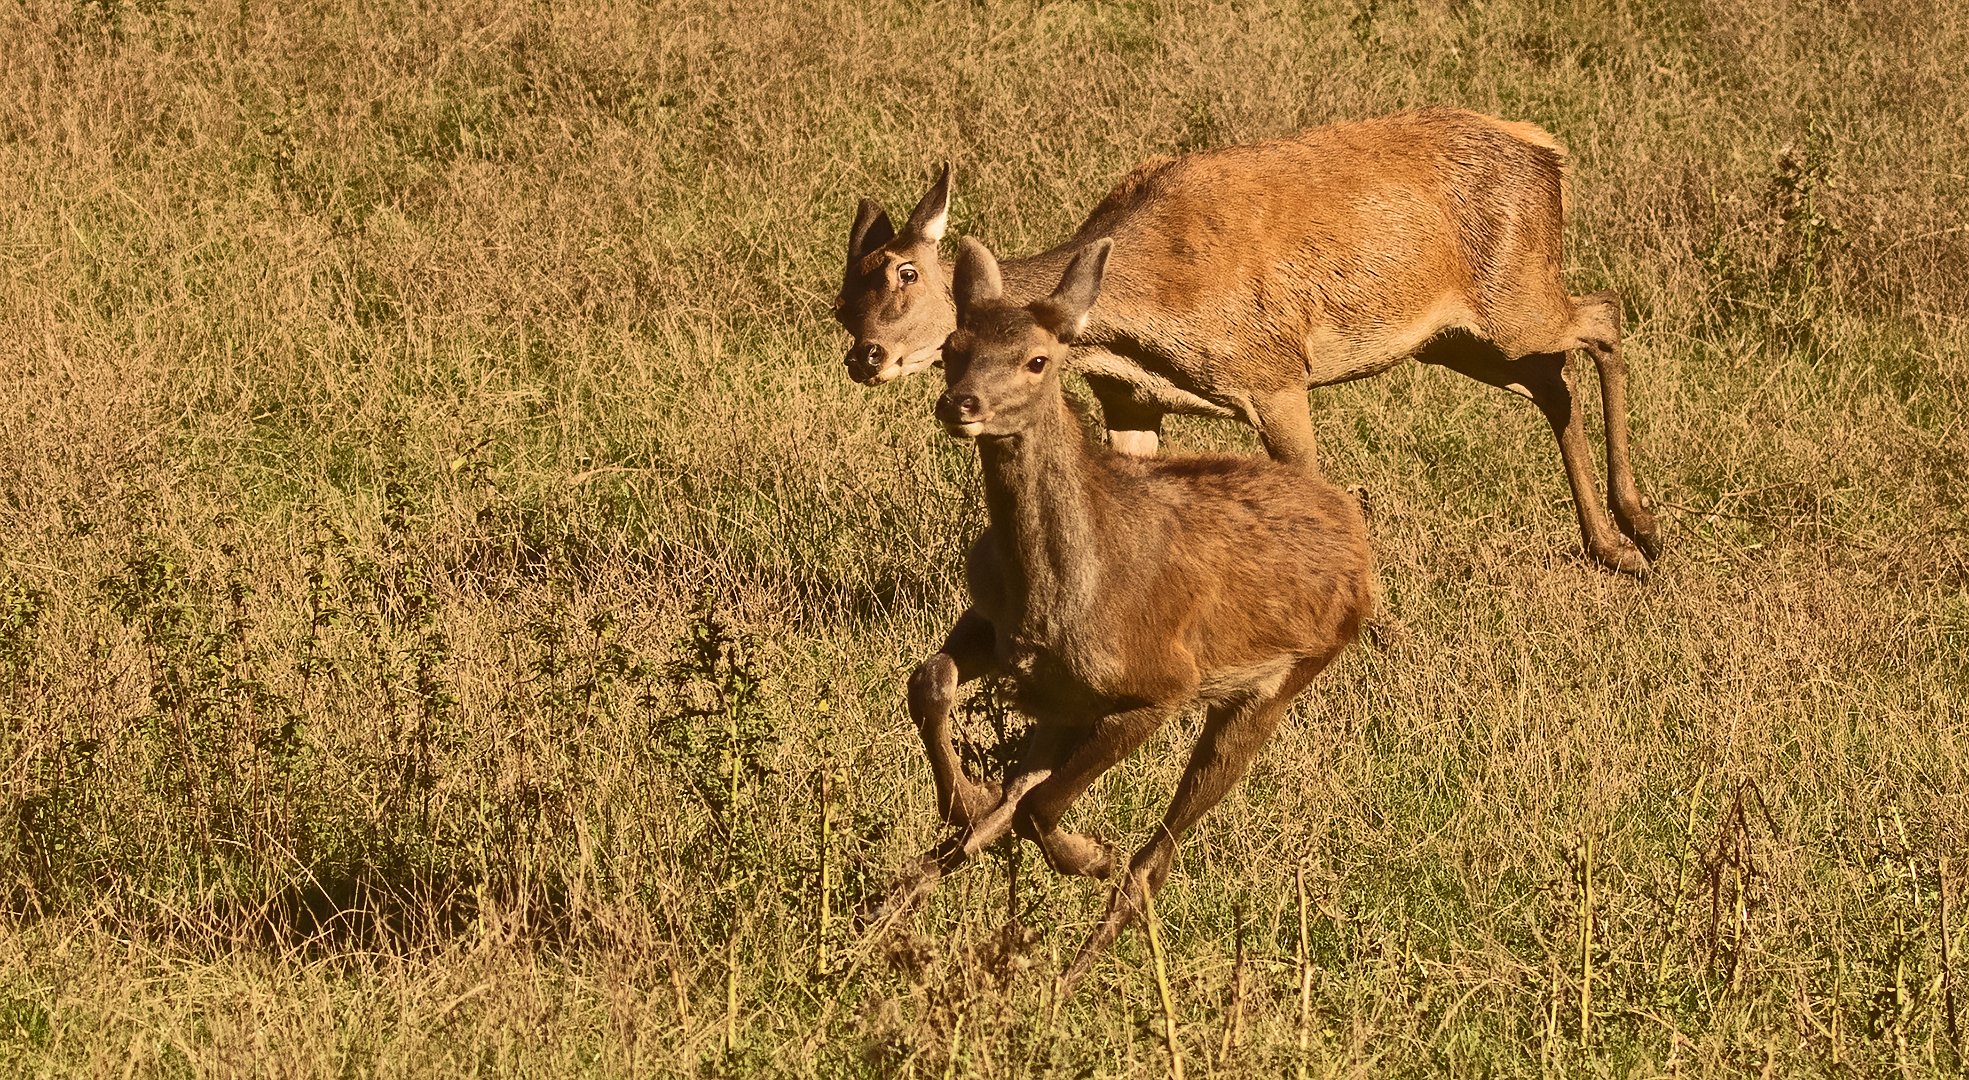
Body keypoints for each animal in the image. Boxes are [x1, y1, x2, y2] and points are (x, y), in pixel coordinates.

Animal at [834, 109, 1661, 578]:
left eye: (906, 272)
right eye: (844, 299)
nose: (863, 355)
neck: (1134, 315)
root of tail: (1548, 151)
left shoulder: (1274, 375)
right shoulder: (1130, 401)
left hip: (1514, 296)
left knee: (1604, 314)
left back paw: (1640, 523)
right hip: (1457, 338)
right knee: (1553, 380)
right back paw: (1614, 547)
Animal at [878, 236, 1370, 995]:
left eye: (1038, 359)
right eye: (955, 346)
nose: (961, 402)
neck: (1059, 591)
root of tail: (1358, 539)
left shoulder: (1159, 684)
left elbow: (1044, 811)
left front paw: (1088, 853)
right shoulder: (995, 627)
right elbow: (927, 684)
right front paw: (963, 798)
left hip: (1275, 684)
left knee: (1151, 860)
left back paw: (1068, 974)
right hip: (1067, 706)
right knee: (1015, 800)